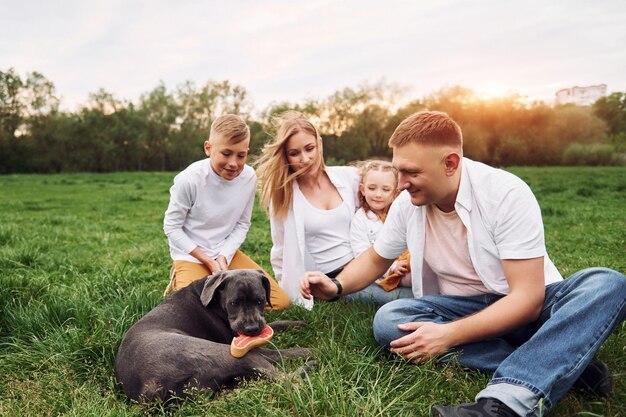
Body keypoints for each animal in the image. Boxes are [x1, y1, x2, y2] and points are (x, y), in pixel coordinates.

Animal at [114, 268, 310, 402]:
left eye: (260, 301)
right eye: (234, 303)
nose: (252, 329)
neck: (214, 298)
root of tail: (152, 386)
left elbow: (276, 324)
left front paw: (299, 322)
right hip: (228, 353)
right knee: (285, 375)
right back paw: (309, 359)